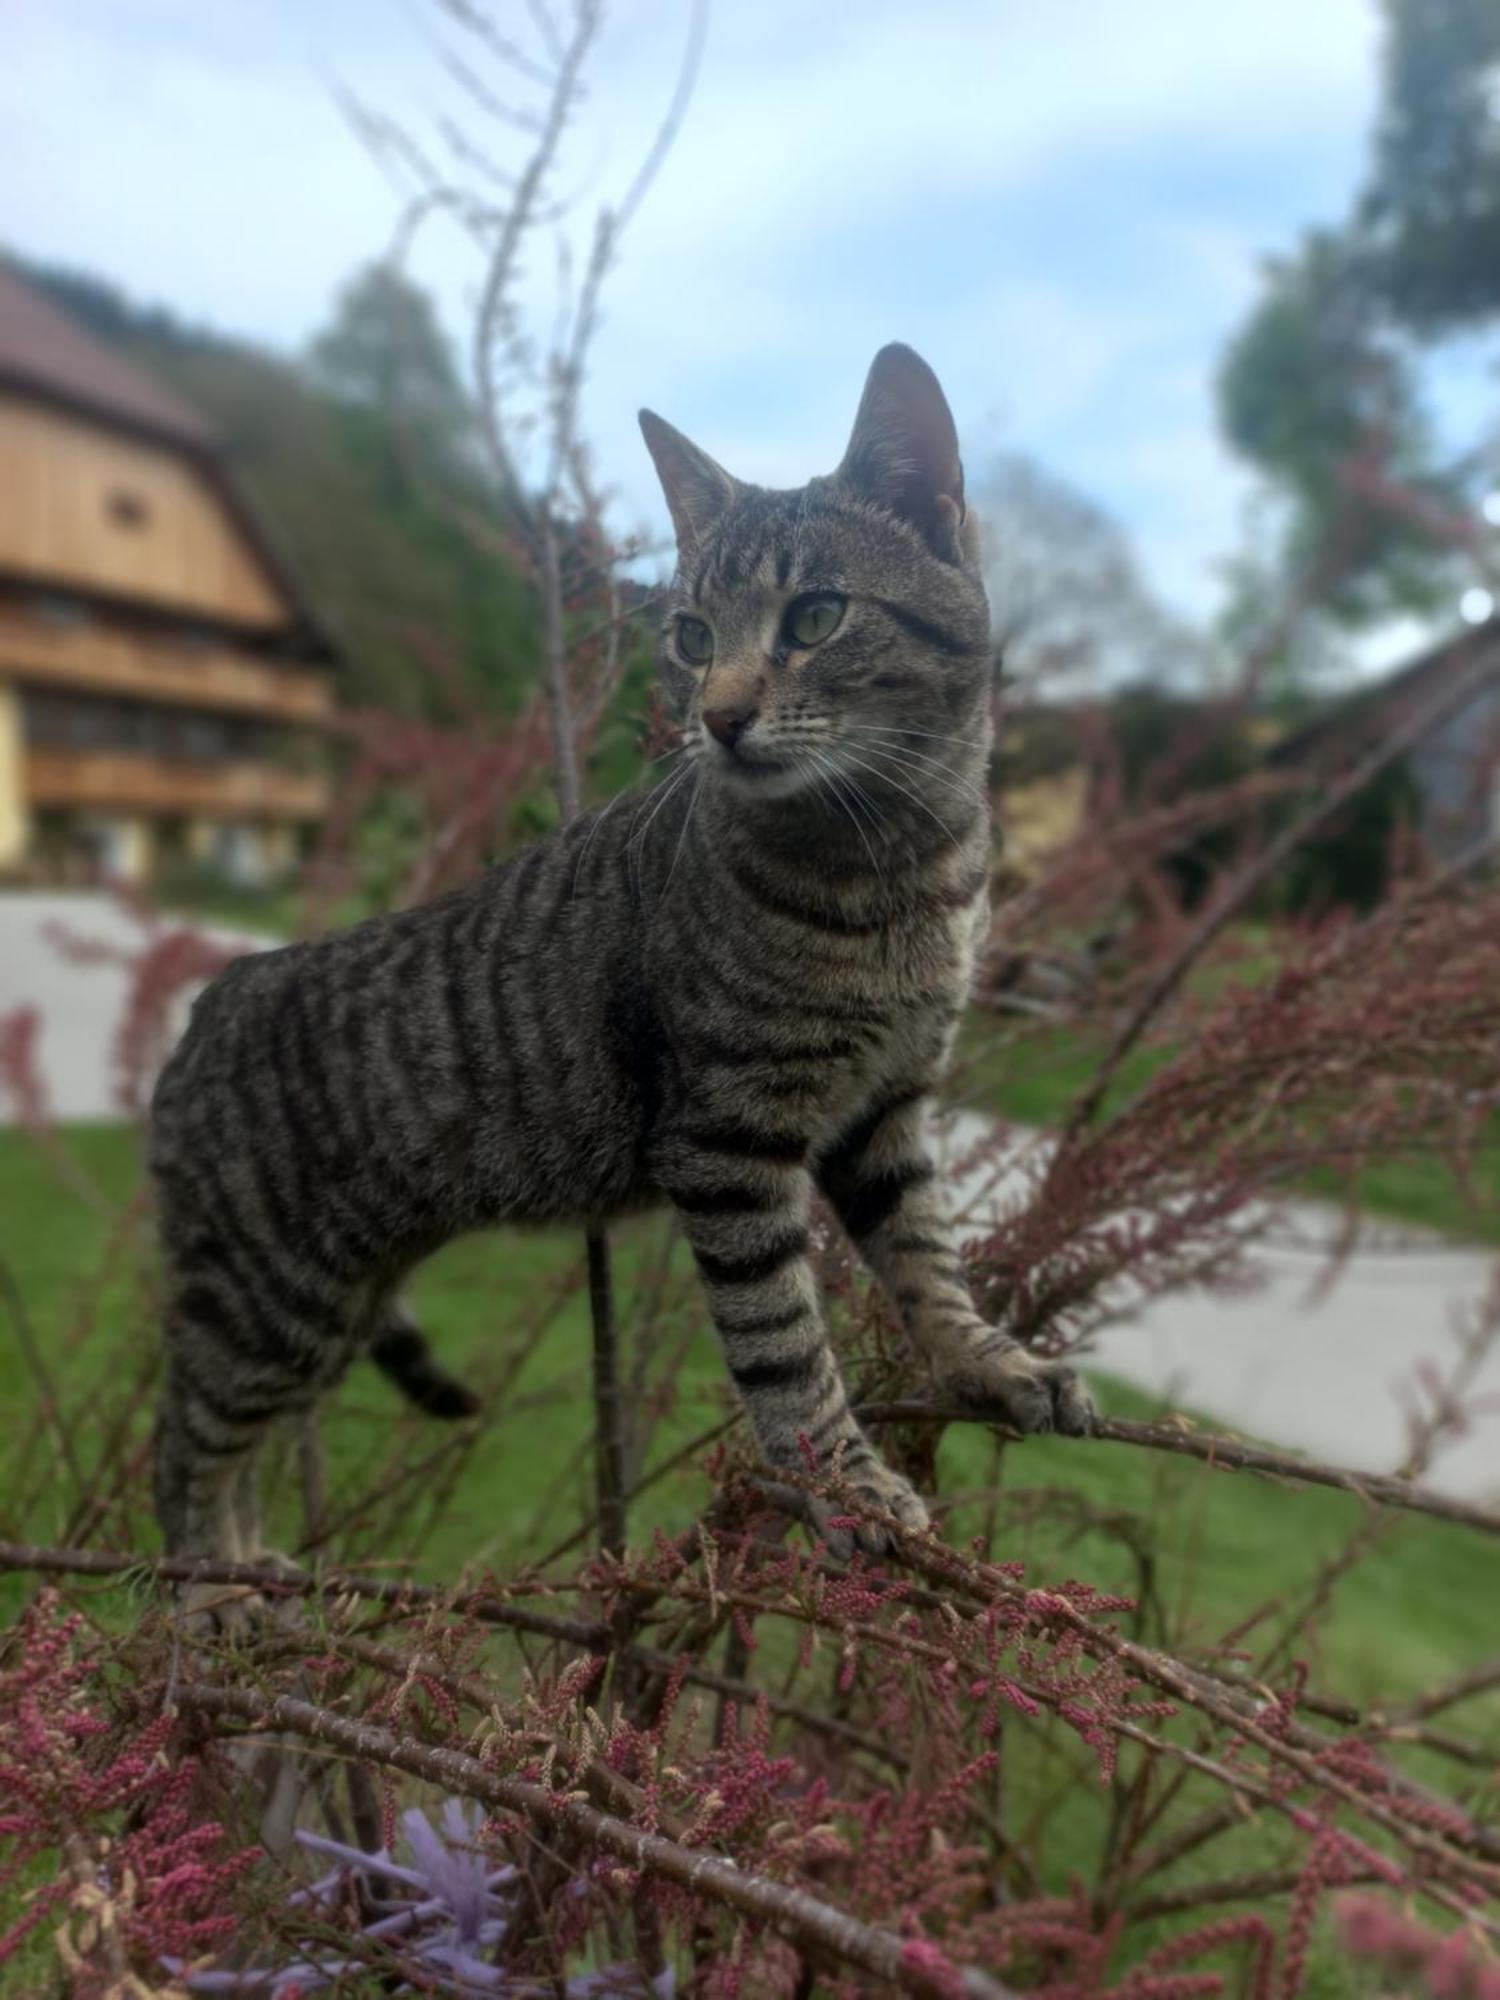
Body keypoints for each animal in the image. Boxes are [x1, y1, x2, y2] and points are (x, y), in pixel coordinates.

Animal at [150, 348, 1096, 1592]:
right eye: (691, 635)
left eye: (817, 615)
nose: (720, 715)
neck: (900, 869)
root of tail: (215, 997)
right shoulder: (729, 1138)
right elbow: (784, 1341)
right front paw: (845, 1485)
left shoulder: (885, 1110)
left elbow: (929, 1263)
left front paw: (994, 1361)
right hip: (271, 1303)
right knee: (184, 1445)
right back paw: (206, 1596)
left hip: (329, 1312)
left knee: (239, 1449)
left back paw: (252, 1572)